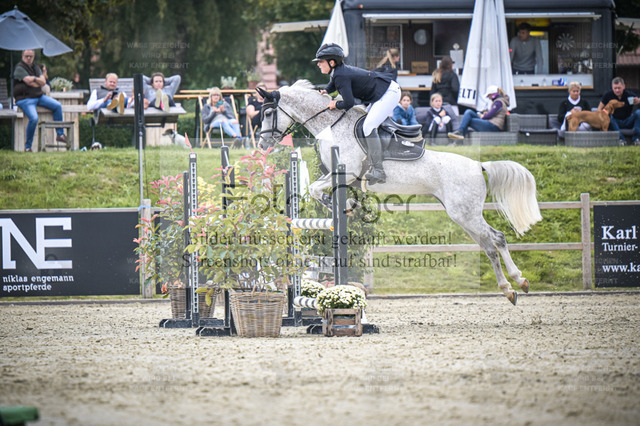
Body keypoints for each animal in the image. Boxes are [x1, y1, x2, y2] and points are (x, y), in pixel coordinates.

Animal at [257, 80, 542, 305]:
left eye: (269, 111)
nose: (261, 143)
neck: (332, 125)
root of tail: (478, 165)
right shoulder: (343, 177)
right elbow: (317, 189)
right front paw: (348, 203)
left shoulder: (346, 172)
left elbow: (315, 189)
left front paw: (343, 204)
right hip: (462, 215)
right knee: (488, 245)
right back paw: (509, 289)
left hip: (467, 214)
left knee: (497, 239)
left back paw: (519, 281)